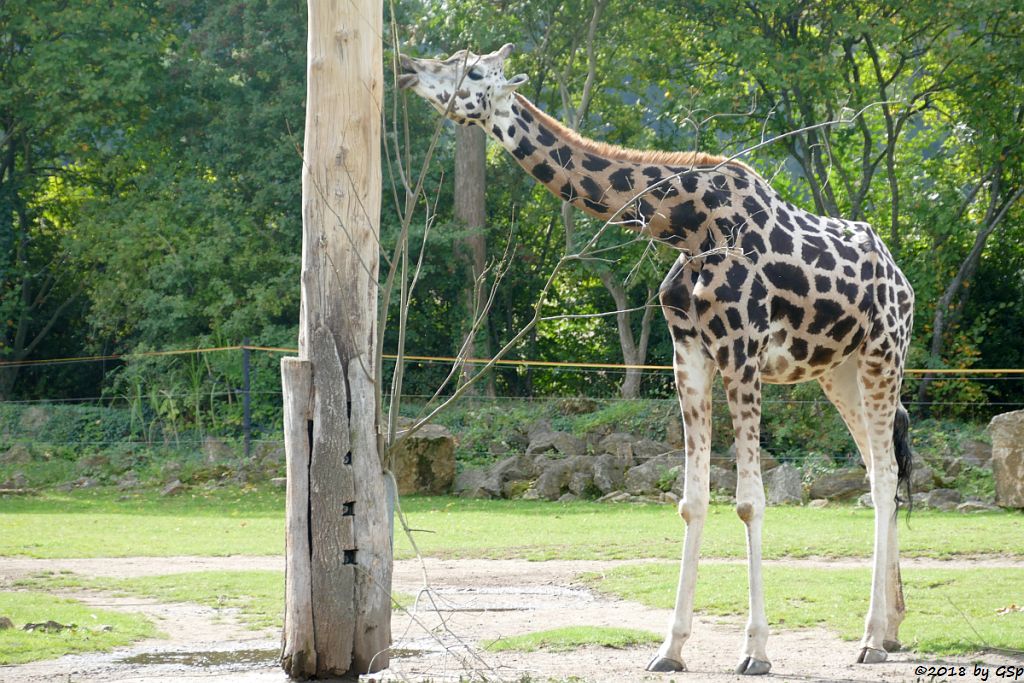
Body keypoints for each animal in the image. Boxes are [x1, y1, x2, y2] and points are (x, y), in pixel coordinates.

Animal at [395, 45, 917, 675]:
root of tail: (903, 280)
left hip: (883, 354)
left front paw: (755, 651)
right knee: (876, 467)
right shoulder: (688, 352)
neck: (687, 228)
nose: (405, 67)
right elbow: (692, 503)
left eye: (472, 72)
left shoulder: (741, 351)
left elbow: (749, 502)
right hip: (837, 372)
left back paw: (871, 638)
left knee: (885, 476)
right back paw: (891, 630)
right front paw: (670, 648)